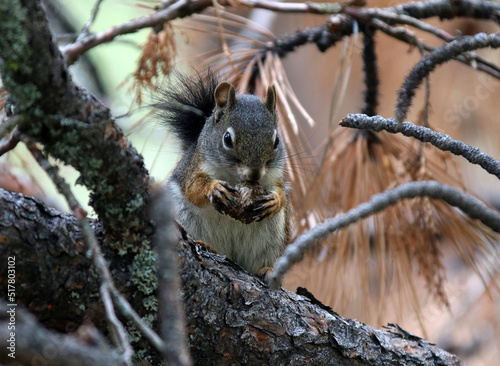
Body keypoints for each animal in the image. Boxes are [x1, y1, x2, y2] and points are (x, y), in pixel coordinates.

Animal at [156, 72, 290, 278]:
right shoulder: (195, 167)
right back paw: (206, 245)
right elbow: (193, 188)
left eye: (276, 141)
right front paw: (214, 188)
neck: (235, 177)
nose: (254, 174)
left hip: (273, 237)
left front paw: (275, 201)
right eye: (227, 139)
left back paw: (266, 270)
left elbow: (281, 191)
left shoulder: (275, 175)